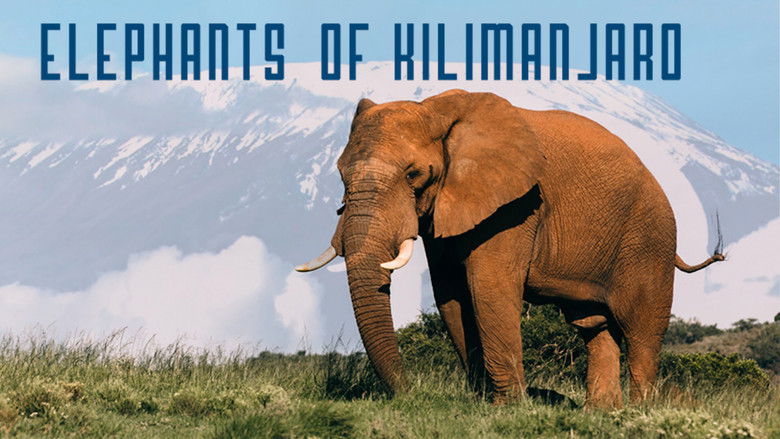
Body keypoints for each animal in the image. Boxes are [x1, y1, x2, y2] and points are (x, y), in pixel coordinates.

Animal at [295, 89, 724, 409]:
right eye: (340, 175)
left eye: (414, 174)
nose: (408, 395)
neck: (437, 110)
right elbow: (451, 294)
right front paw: (482, 402)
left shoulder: (516, 205)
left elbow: (490, 287)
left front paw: (508, 408)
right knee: (594, 326)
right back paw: (600, 413)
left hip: (649, 238)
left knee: (642, 329)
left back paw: (639, 412)